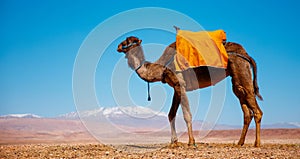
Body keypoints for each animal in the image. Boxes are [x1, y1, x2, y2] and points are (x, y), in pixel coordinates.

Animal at [116, 30, 262, 147]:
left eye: (127, 41)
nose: (118, 46)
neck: (162, 67)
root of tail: (245, 53)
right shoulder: (176, 87)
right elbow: (171, 114)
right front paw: (174, 142)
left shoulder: (181, 84)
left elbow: (187, 115)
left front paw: (191, 142)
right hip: (236, 77)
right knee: (245, 107)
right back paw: (240, 143)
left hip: (240, 66)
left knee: (256, 109)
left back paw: (257, 143)